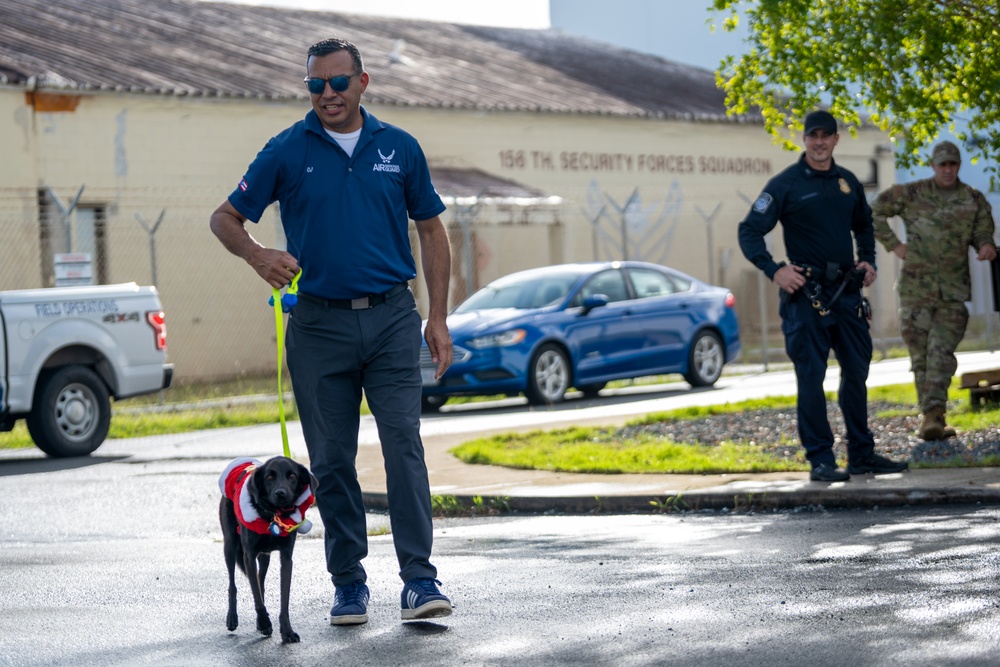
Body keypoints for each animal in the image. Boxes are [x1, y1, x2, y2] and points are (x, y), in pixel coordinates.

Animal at [221, 456, 318, 644]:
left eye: (292, 476)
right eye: (270, 477)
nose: (280, 493)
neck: (273, 514)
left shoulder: (286, 558)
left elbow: (283, 599)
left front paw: (286, 631)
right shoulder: (249, 556)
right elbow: (257, 598)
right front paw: (265, 623)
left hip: (264, 556)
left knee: (260, 583)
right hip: (229, 546)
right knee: (232, 585)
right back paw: (232, 618)